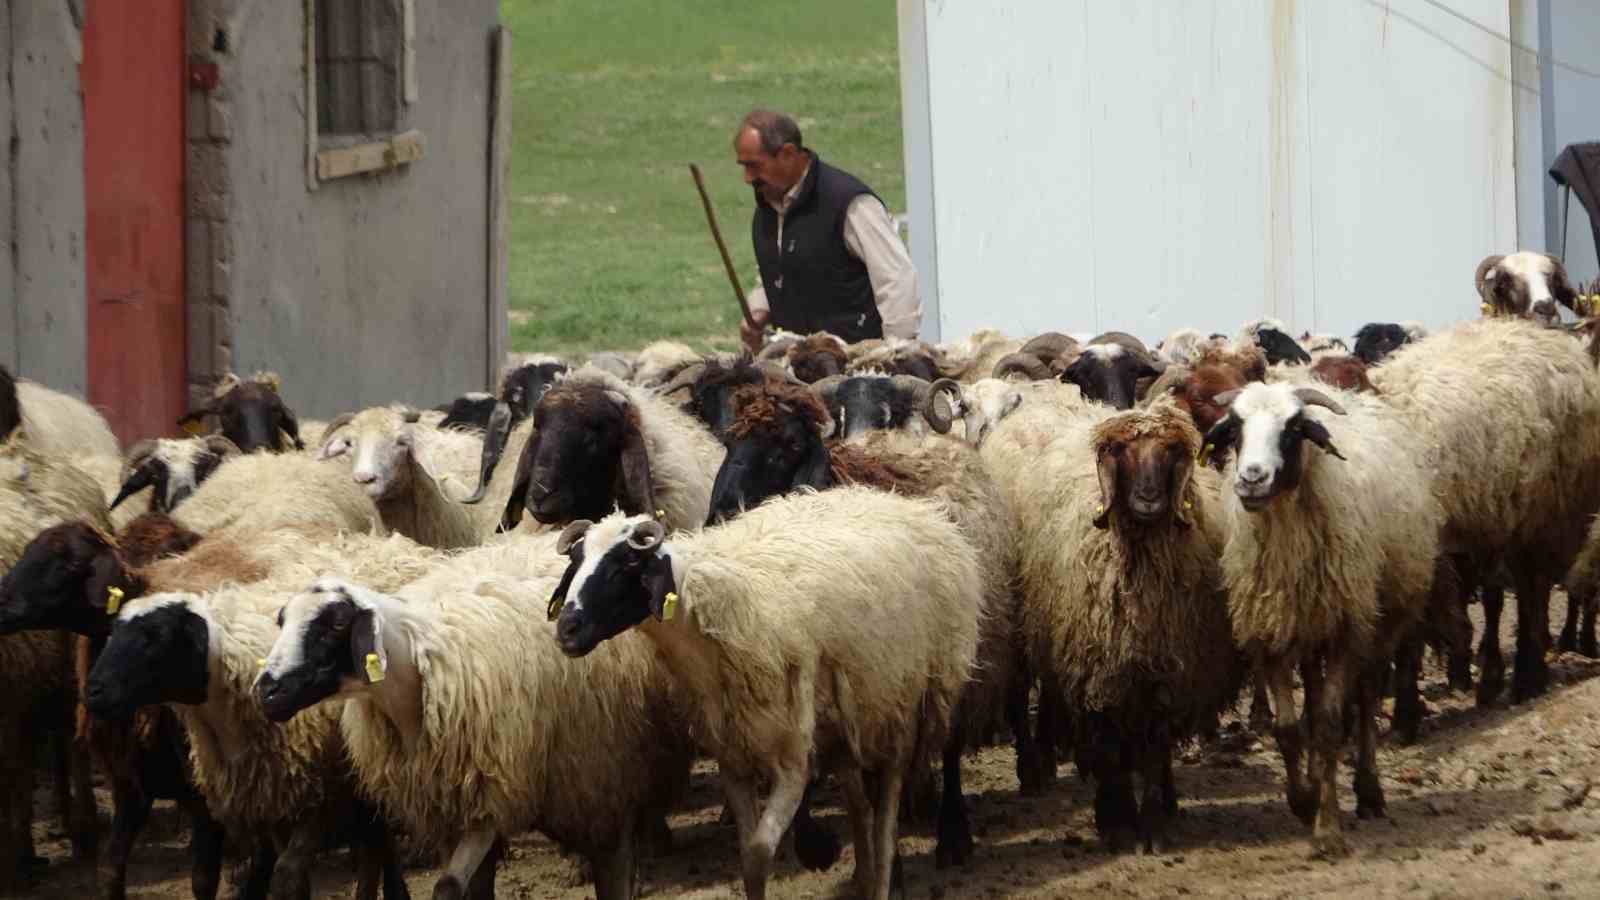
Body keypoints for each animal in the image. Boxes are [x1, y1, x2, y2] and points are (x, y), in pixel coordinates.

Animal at [547, 483, 972, 896]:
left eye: (627, 565)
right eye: (574, 563)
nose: (566, 630)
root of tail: (910, 507)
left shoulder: (792, 766)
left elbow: (757, 854)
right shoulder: (734, 760)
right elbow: (748, 863)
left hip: (899, 712)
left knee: (884, 823)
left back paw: (882, 878)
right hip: (843, 725)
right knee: (860, 809)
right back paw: (864, 879)